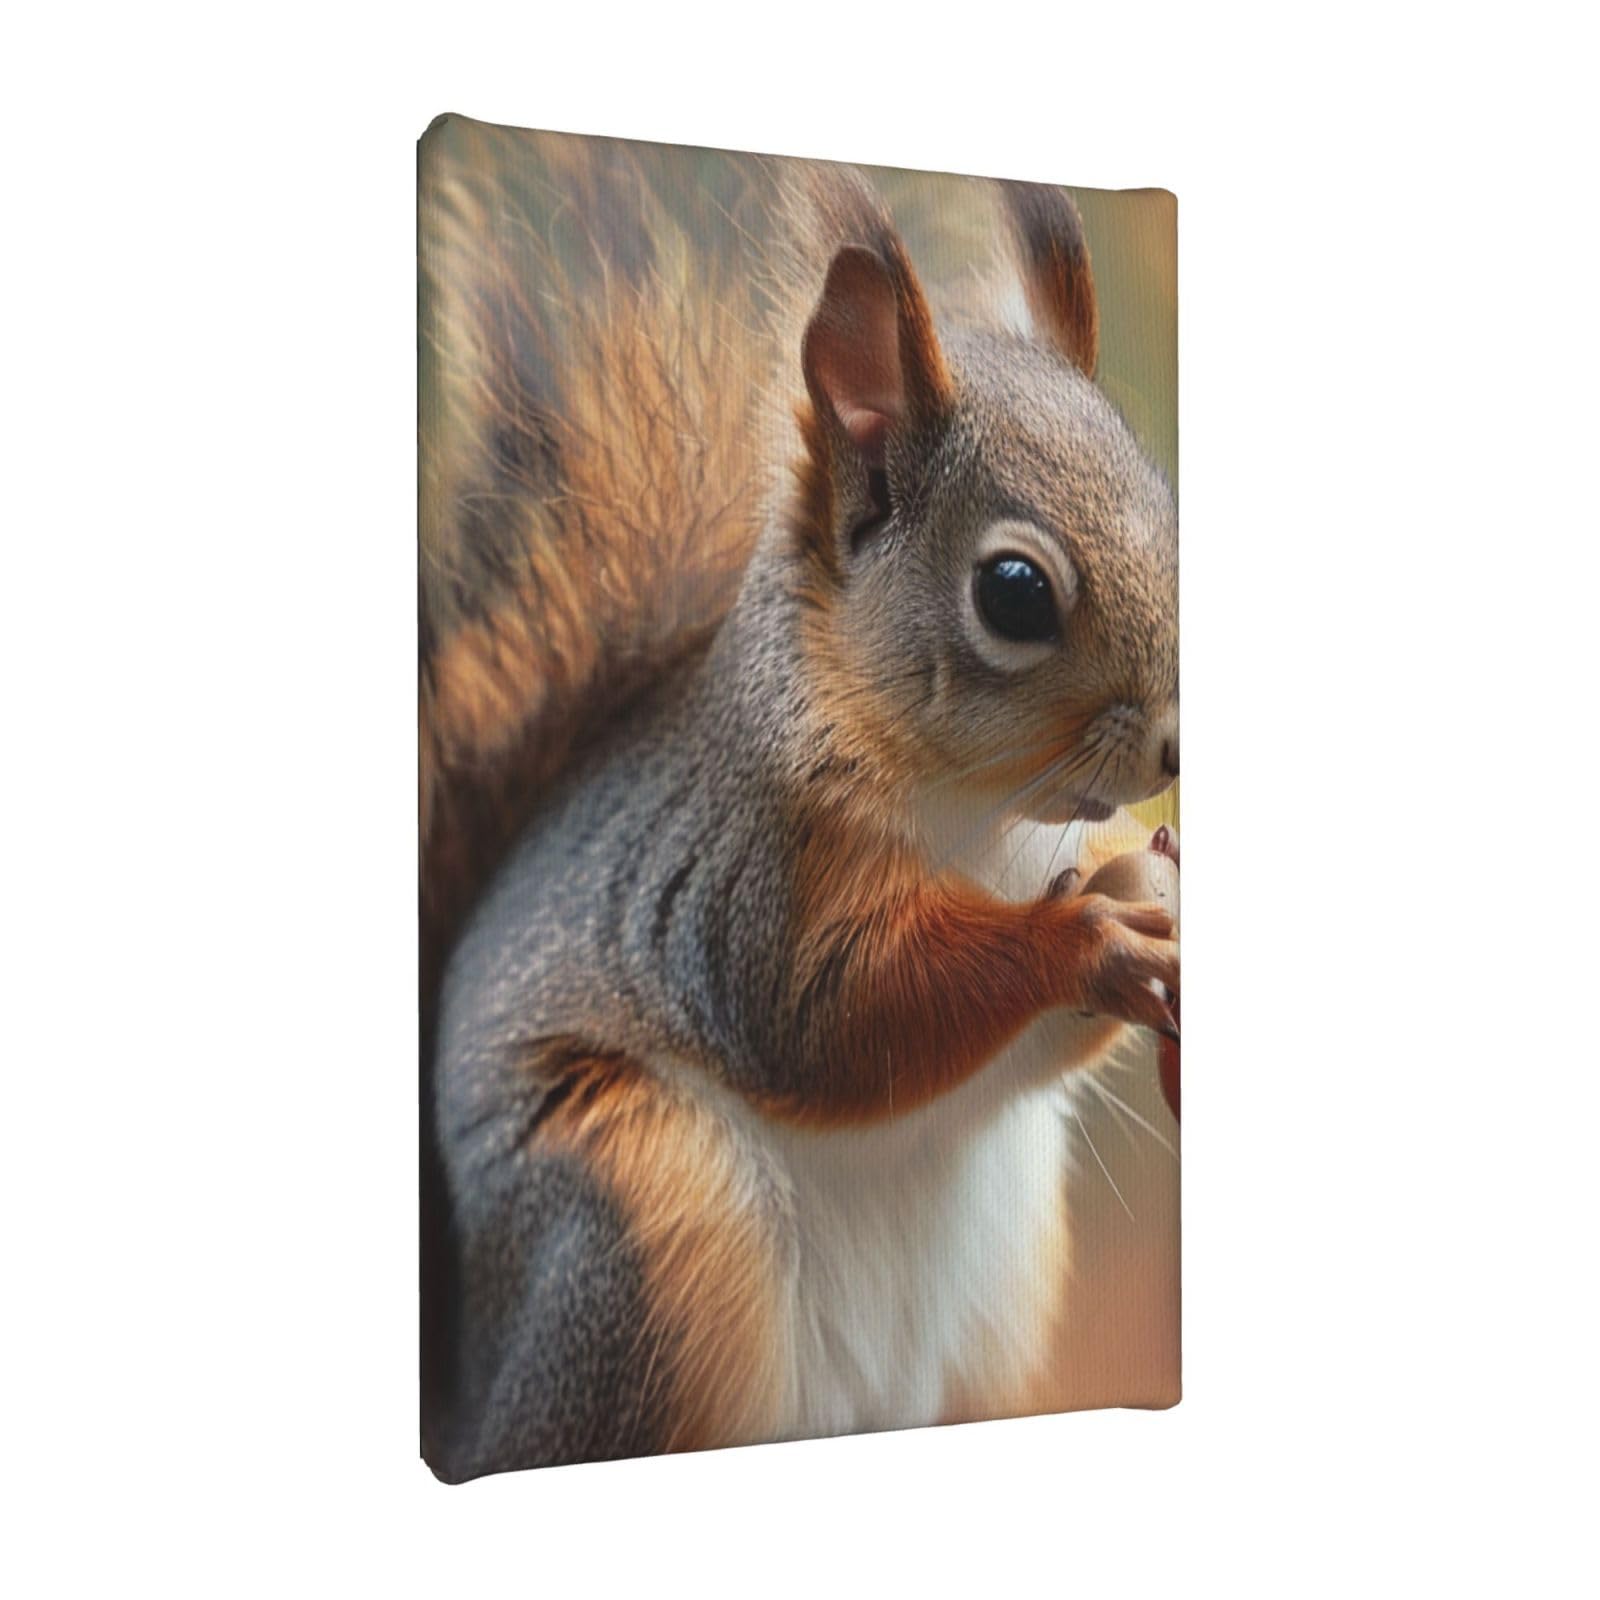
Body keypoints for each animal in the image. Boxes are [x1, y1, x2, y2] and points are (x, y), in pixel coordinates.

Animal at [419, 118, 1178, 1481]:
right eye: (1016, 593)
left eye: (1169, 508)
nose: (1176, 746)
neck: (997, 814)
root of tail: (470, 1412)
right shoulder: (745, 885)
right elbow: (836, 1015)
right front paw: (1080, 936)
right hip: (635, 1219)